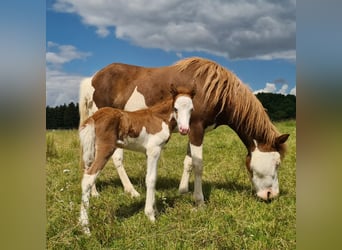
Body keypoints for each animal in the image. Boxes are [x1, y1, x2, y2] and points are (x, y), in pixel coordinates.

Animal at [78, 84, 195, 234]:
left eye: (191, 109)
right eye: (176, 108)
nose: (184, 130)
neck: (159, 118)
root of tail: (94, 117)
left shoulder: (148, 152)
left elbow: (152, 177)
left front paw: (155, 210)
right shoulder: (154, 150)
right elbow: (151, 179)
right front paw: (150, 216)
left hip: (91, 150)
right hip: (105, 149)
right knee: (88, 178)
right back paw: (85, 228)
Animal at [79, 57, 288, 205]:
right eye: (277, 163)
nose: (271, 195)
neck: (213, 90)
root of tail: (93, 79)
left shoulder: (191, 130)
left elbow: (188, 162)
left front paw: (183, 191)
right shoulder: (196, 130)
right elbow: (198, 164)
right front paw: (199, 200)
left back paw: (97, 192)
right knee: (112, 159)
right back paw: (128, 191)